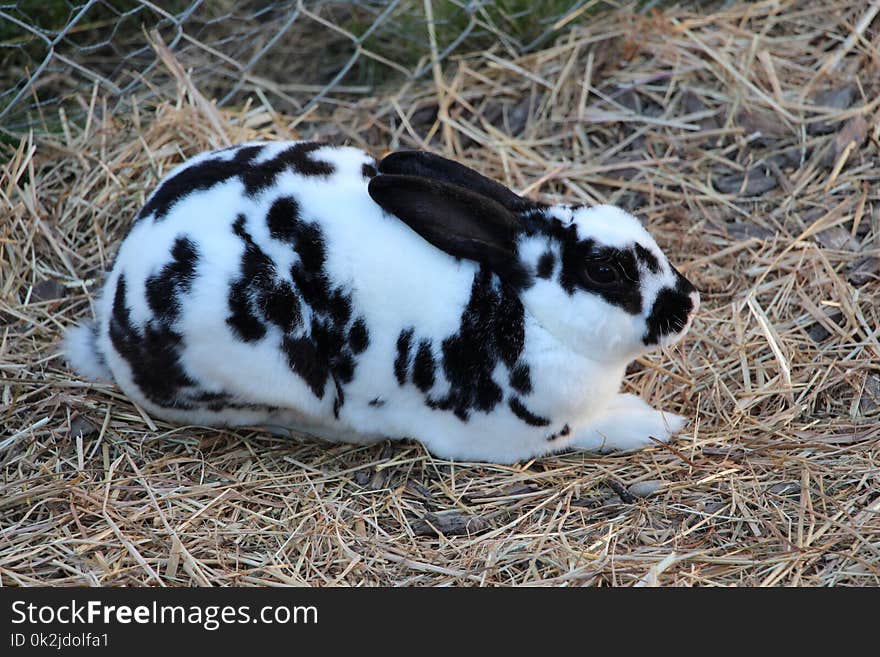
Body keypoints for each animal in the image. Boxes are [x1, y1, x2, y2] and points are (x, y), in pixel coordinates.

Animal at [63, 141, 700, 464]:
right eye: (605, 271)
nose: (687, 302)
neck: (527, 312)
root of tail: (114, 323)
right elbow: (600, 430)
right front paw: (660, 424)